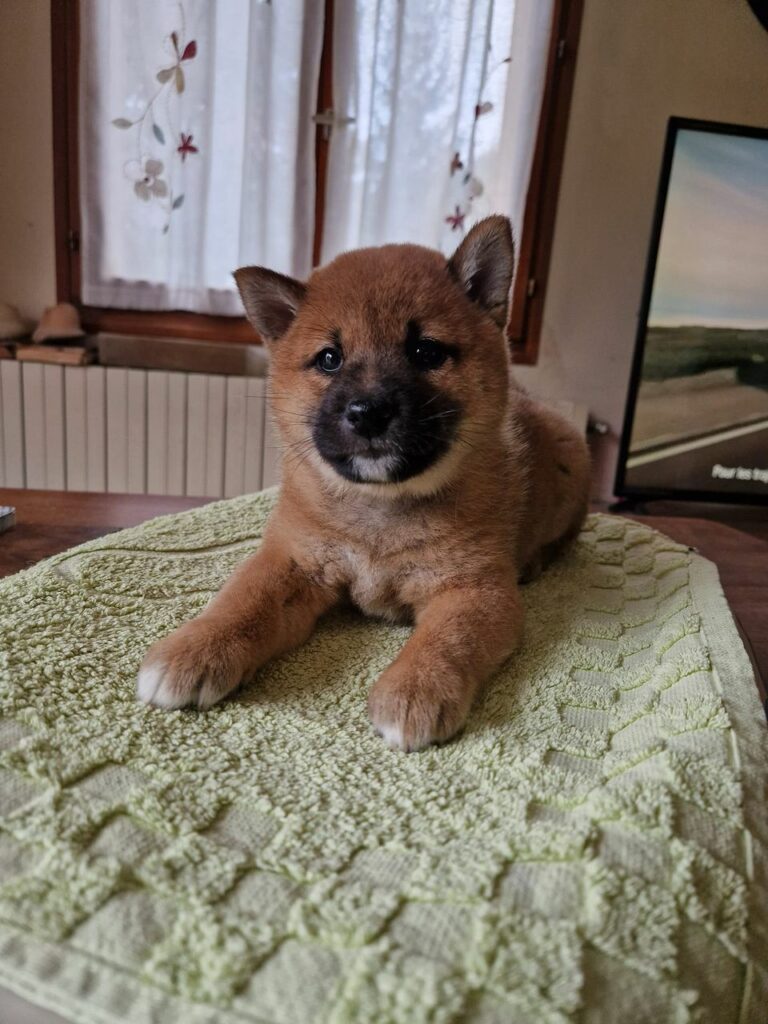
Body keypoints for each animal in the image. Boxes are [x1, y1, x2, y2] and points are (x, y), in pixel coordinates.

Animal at [138, 216, 589, 749]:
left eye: (425, 351)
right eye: (330, 359)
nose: (369, 411)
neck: (380, 509)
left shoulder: (476, 590)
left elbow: (448, 639)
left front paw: (416, 688)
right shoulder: (292, 560)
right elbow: (241, 602)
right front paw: (194, 648)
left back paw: (536, 560)